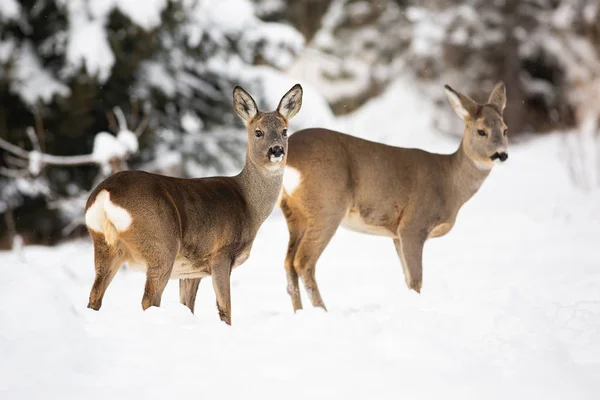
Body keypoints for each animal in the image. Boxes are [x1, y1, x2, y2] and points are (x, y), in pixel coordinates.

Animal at [83, 83, 304, 324]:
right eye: (258, 132)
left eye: (285, 131)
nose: (276, 150)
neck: (248, 205)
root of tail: (106, 193)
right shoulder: (221, 254)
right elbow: (225, 310)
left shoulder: (192, 270)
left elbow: (188, 307)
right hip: (161, 245)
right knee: (149, 300)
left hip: (105, 245)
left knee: (94, 297)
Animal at [278, 82, 508, 312]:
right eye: (481, 131)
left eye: (505, 130)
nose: (502, 154)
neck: (449, 184)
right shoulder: (413, 225)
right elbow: (415, 280)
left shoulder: (396, 235)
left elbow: (407, 279)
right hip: (327, 206)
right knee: (303, 262)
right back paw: (323, 311)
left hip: (294, 212)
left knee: (288, 262)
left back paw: (299, 312)